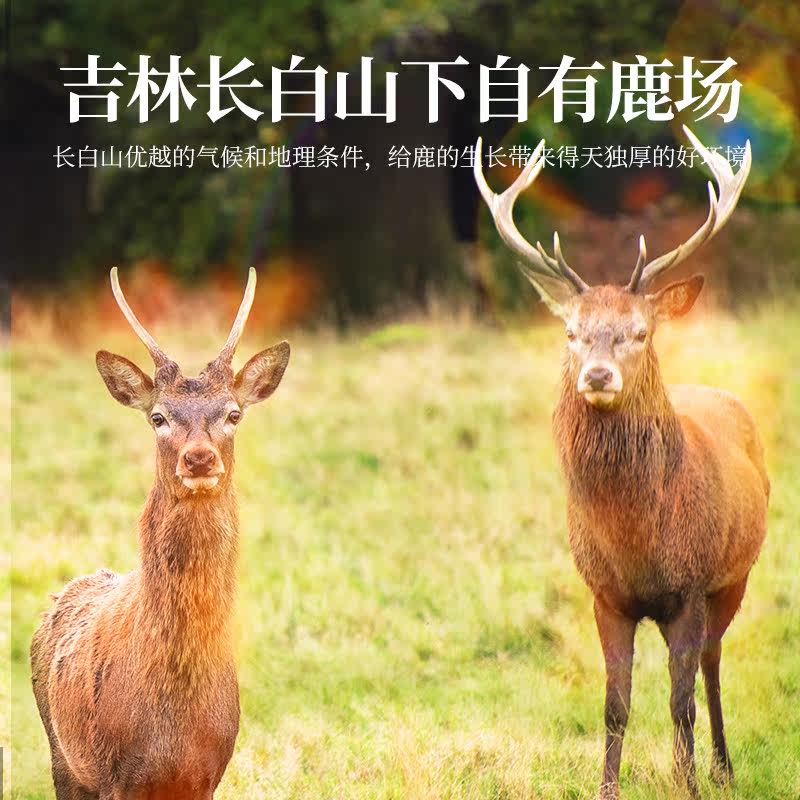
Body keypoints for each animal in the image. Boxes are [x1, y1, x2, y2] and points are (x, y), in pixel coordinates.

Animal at [31, 268, 290, 800]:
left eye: (233, 413)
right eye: (158, 417)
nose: (199, 458)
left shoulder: (209, 773)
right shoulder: (117, 774)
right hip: (62, 755)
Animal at [474, 126, 769, 799]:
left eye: (639, 332)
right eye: (571, 333)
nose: (598, 375)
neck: (637, 538)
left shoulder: (690, 586)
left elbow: (680, 702)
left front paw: (688, 784)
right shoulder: (606, 594)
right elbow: (615, 705)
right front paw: (608, 787)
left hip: (735, 574)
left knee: (712, 665)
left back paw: (721, 767)